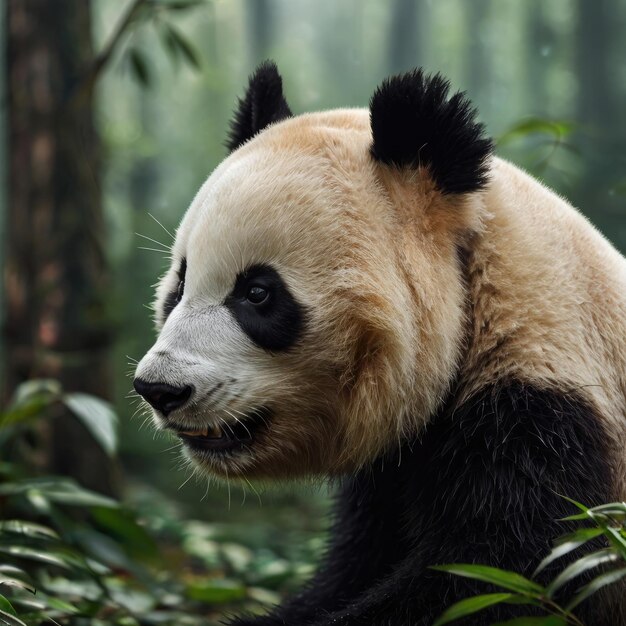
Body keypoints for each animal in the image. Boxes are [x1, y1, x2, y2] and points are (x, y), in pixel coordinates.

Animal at [133, 61, 624, 620]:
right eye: (179, 286)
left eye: (257, 293)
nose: (159, 389)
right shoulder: (391, 473)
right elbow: (355, 566)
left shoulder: (550, 417)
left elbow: (509, 578)